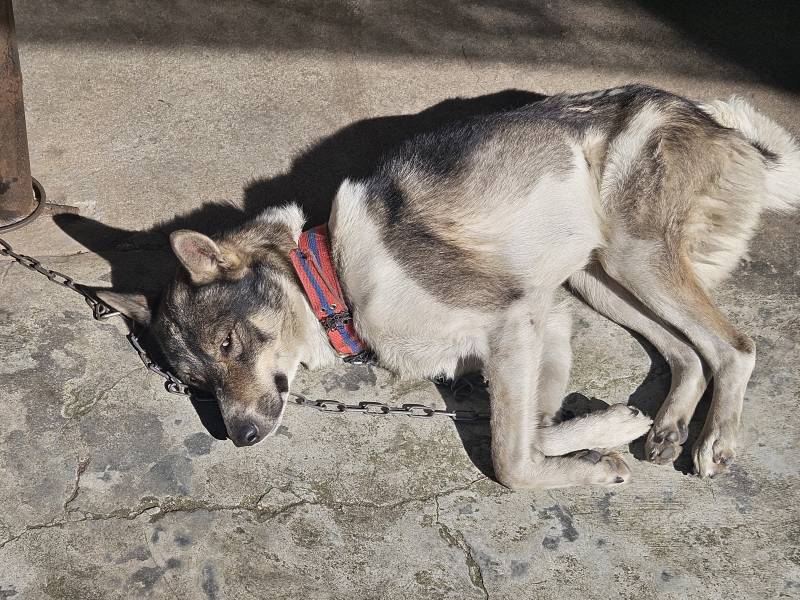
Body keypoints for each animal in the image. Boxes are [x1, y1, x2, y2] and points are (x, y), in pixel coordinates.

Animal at [98, 83, 800, 488]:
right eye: (196, 383)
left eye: (227, 344)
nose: (240, 437)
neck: (336, 279)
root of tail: (722, 126)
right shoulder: (545, 322)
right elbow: (535, 431)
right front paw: (609, 434)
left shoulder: (515, 324)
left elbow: (511, 462)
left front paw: (593, 462)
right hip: (597, 274)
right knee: (686, 350)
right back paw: (666, 426)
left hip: (635, 255)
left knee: (736, 346)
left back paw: (714, 439)